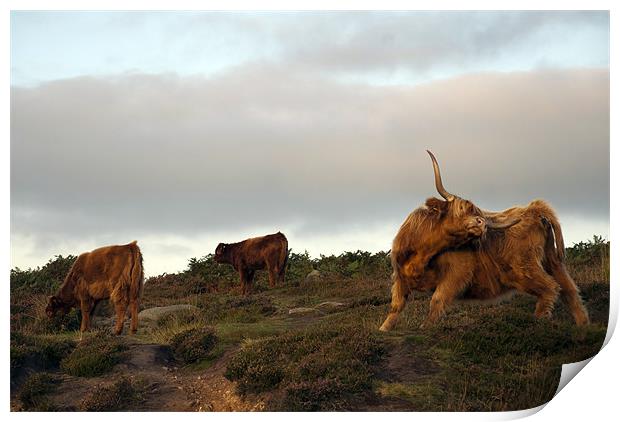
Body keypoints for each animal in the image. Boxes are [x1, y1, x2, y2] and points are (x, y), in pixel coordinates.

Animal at [378, 152, 592, 332]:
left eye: (476, 212)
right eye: (462, 208)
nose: (481, 222)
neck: (421, 254)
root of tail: (534, 209)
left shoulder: (457, 273)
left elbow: (437, 300)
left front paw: (425, 328)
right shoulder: (400, 277)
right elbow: (396, 306)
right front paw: (383, 329)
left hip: (524, 269)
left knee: (551, 287)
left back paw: (538, 320)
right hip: (552, 261)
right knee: (570, 291)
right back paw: (583, 326)